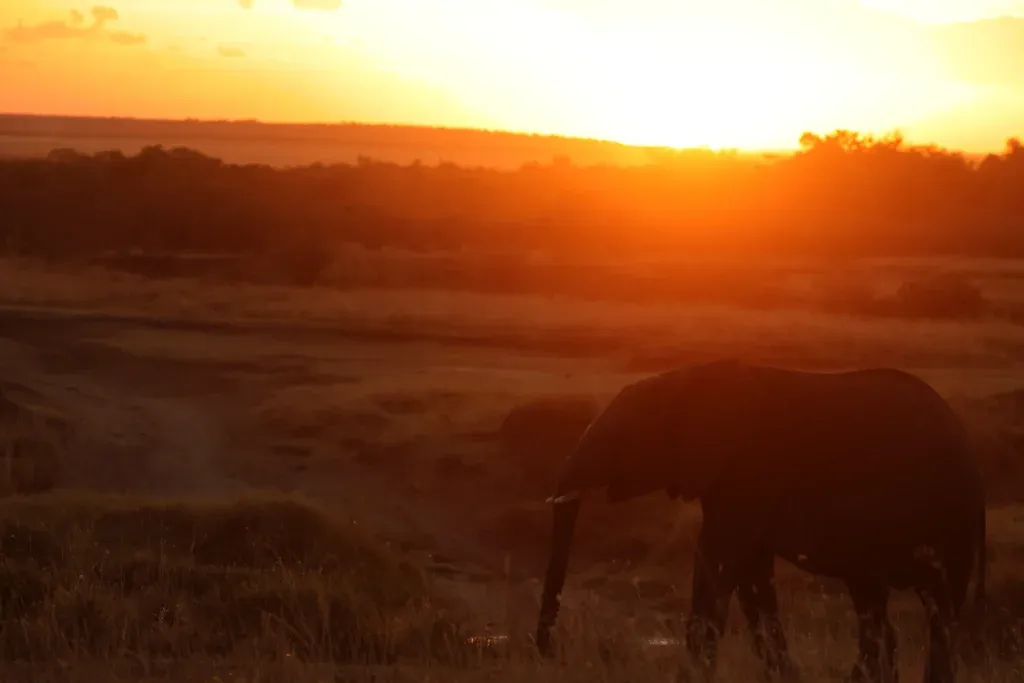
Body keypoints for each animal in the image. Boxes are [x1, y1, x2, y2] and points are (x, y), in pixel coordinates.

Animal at [535, 359, 987, 683]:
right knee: (872, 603)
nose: (550, 652)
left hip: (952, 514)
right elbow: (751, 577)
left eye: (621, 435)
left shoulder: (751, 469)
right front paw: (785, 677)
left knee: (939, 610)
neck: (687, 379)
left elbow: (719, 563)